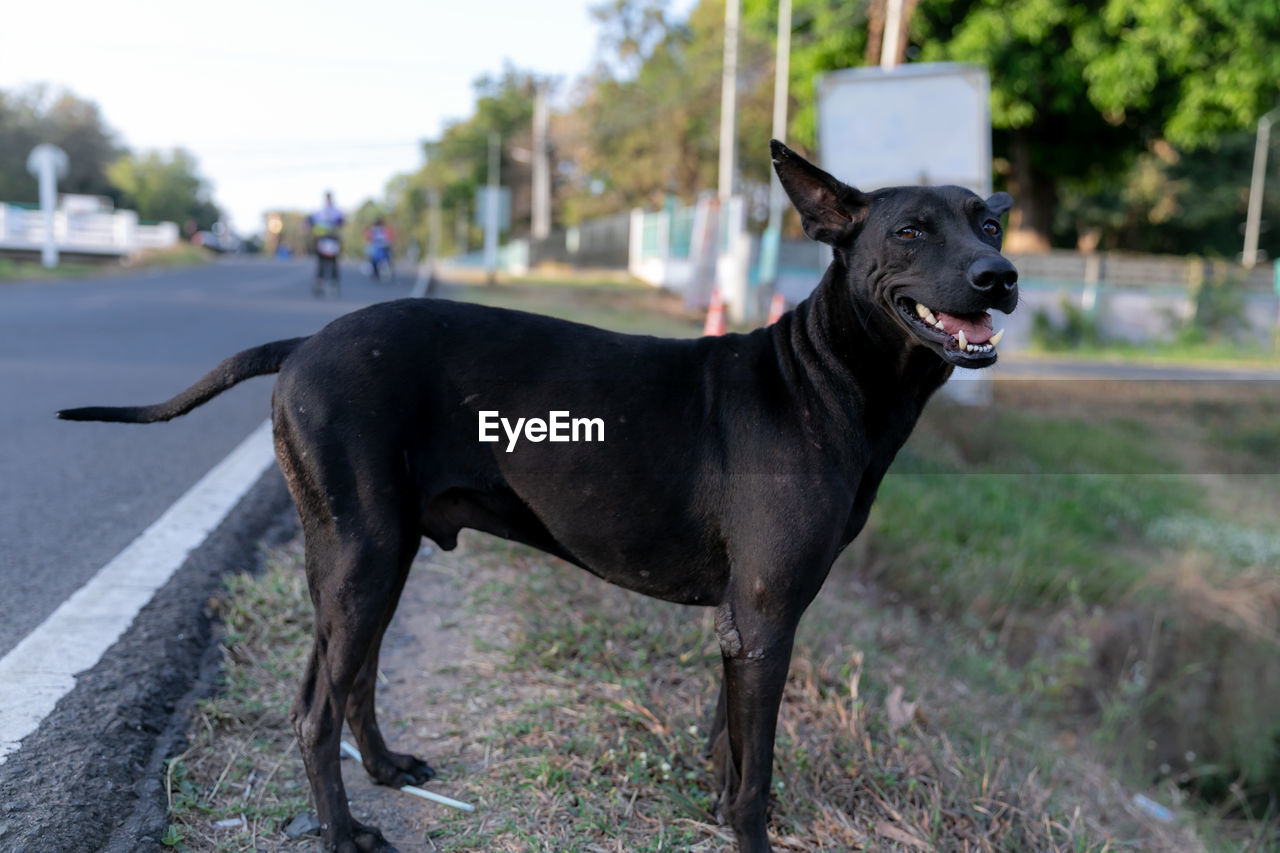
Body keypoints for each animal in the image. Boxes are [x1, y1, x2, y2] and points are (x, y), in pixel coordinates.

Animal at [62, 142, 1018, 850]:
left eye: (989, 221)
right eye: (910, 231)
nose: (1000, 274)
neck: (825, 378)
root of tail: (304, 343)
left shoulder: (747, 625)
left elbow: (726, 748)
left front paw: (714, 807)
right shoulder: (764, 618)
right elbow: (756, 773)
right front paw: (750, 835)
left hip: (375, 561)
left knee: (353, 679)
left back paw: (385, 769)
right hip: (360, 558)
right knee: (312, 709)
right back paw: (342, 831)